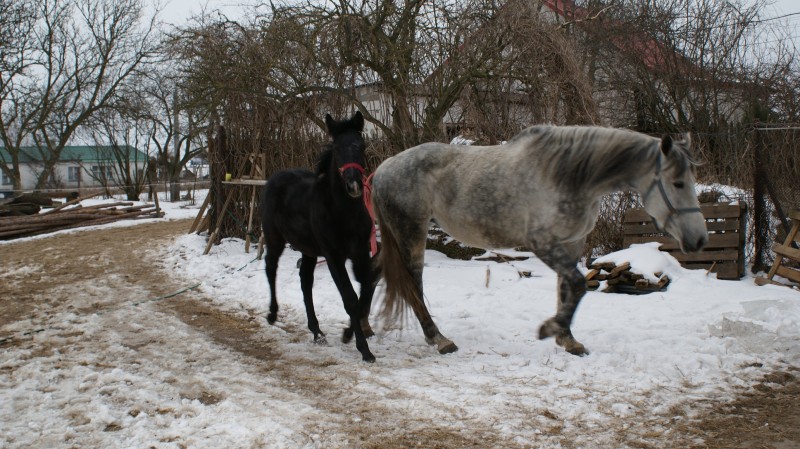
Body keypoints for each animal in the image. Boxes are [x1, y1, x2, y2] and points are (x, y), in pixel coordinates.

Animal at [372, 124, 708, 356]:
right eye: (678, 183)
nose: (700, 240)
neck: (568, 175)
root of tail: (381, 171)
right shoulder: (541, 243)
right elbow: (576, 284)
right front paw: (550, 329)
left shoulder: (571, 243)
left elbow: (567, 288)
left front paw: (568, 339)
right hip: (411, 234)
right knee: (413, 285)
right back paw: (439, 339)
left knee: (375, 272)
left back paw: (364, 331)